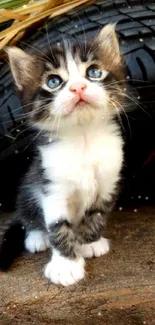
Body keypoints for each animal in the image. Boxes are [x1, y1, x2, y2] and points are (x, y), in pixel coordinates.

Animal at [0, 24, 124, 284]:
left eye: (94, 72)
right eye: (54, 81)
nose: (78, 87)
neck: (83, 138)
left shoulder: (109, 180)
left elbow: (97, 215)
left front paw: (90, 243)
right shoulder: (51, 185)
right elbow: (57, 226)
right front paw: (66, 265)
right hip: (28, 187)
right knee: (28, 216)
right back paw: (37, 237)